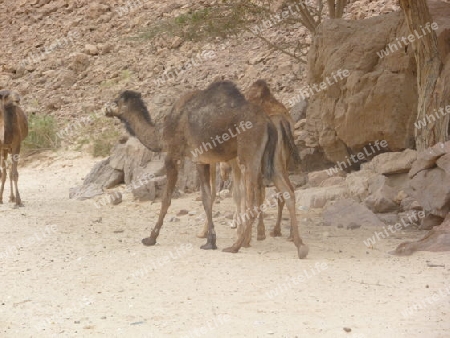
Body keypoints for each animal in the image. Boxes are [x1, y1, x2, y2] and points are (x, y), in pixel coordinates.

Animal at [106, 82, 310, 258]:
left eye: (116, 101)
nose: (106, 109)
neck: (161, 134)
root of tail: (269, 122)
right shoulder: (201, 160)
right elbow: (206, 198)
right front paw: (210, 241)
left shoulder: (173, 155)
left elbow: (166, 199)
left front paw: (151, 237)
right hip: (272, 160)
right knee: (287, 192)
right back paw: (300, 246)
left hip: (249, 154)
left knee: (254, 197)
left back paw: (237, 245)